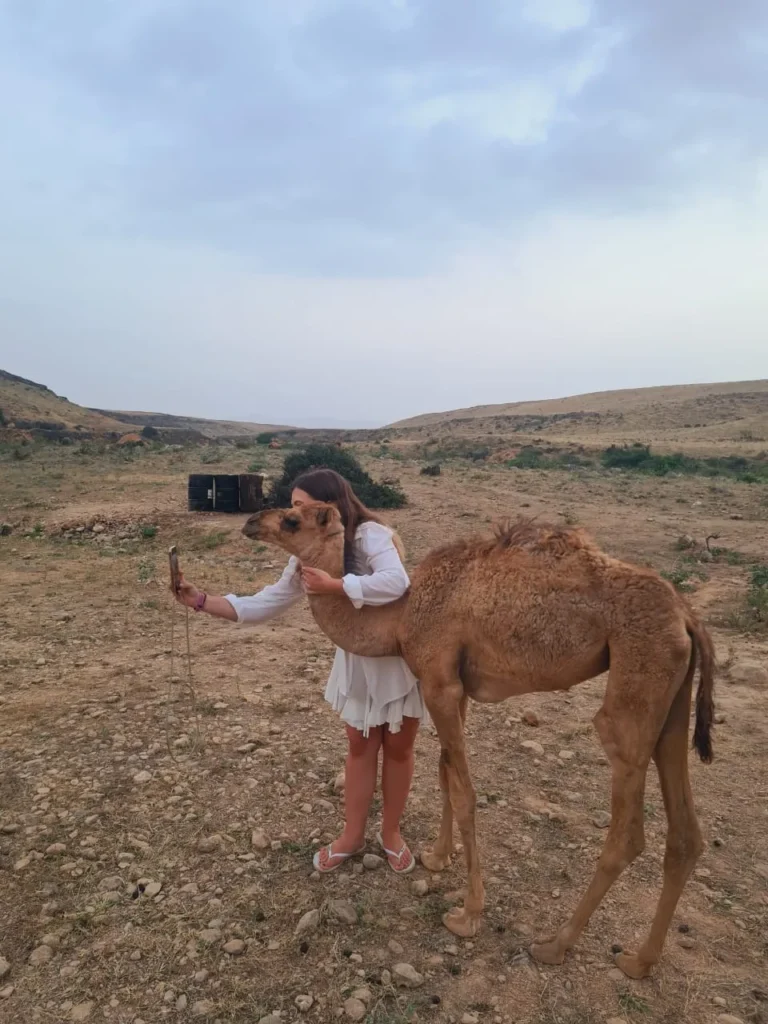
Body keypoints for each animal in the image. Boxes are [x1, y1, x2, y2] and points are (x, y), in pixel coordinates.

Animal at [242, 504, 715, 979]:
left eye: (292, 519)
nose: (251, 521)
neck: (402, 617)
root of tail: (687, 616)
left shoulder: (438, 685)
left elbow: (466, 793)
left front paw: (468, 914)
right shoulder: (457, 688)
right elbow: (444, 772)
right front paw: (437, 857)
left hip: (633, 691)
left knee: (628, 832)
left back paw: (555, 945)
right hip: (670, 700)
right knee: (686, 834)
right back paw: (640, 960)